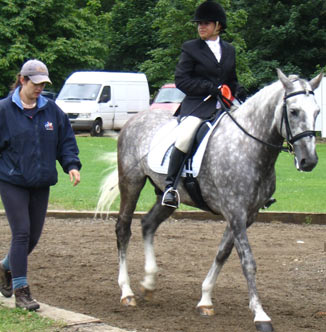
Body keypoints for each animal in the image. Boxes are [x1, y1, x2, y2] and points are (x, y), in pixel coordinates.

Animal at [98, 68, 322, 330]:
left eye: (317, 111)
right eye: (294, 111)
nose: (309, 161)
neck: (248, 146)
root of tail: (135, 120)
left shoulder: (247, 216)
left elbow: (223, 253)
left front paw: (205, 300)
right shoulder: (235, 213)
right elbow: (247, 261)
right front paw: (260, 314)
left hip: (168, 196)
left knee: (148, 224)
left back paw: (149, 283)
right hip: (131, 183)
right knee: (123, 229)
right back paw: (127, 292)